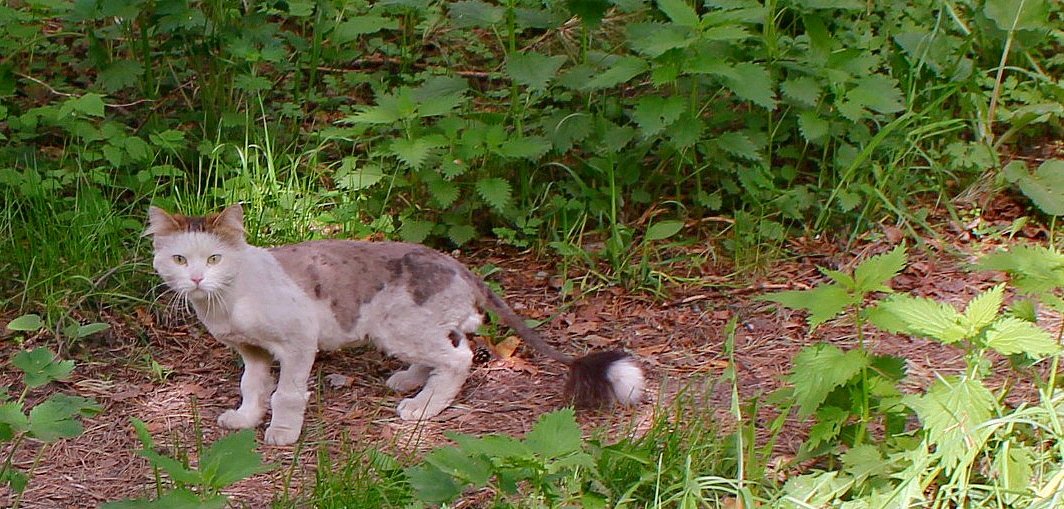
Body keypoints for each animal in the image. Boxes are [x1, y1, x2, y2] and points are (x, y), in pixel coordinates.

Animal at [145, 204, 642, 442]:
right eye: (179, 259)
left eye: (214, 258)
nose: (195, 278)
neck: (227, 301)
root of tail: (459, 266)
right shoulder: (252, 350)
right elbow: (253, 386)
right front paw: (246, 418)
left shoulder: (299, 341)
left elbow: (286, 394)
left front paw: (282, 433)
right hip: (410, 327)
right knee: (449, 346)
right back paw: (409, 381)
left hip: (396, 326)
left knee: (459, 357)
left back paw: (422, 407)